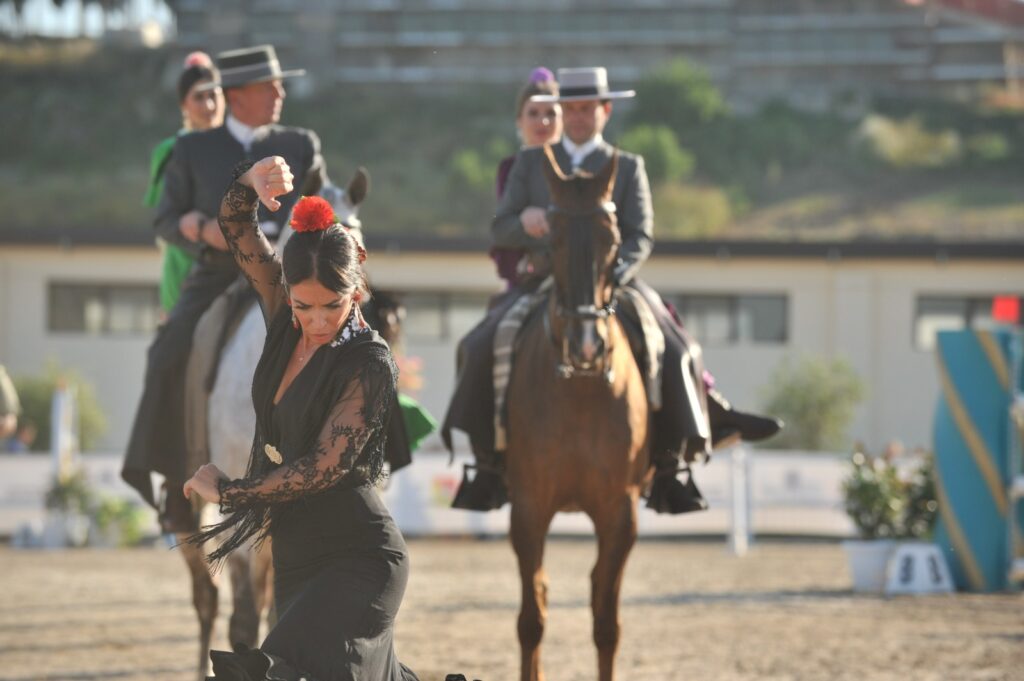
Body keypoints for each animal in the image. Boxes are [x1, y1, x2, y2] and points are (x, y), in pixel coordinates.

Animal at [507, 147, 651, 679]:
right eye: (552, 237)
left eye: (614, 240)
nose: (587, 345)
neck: (581, 392)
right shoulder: (528, 508)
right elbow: (532, 621)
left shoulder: (621, 514)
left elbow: (606, 625)